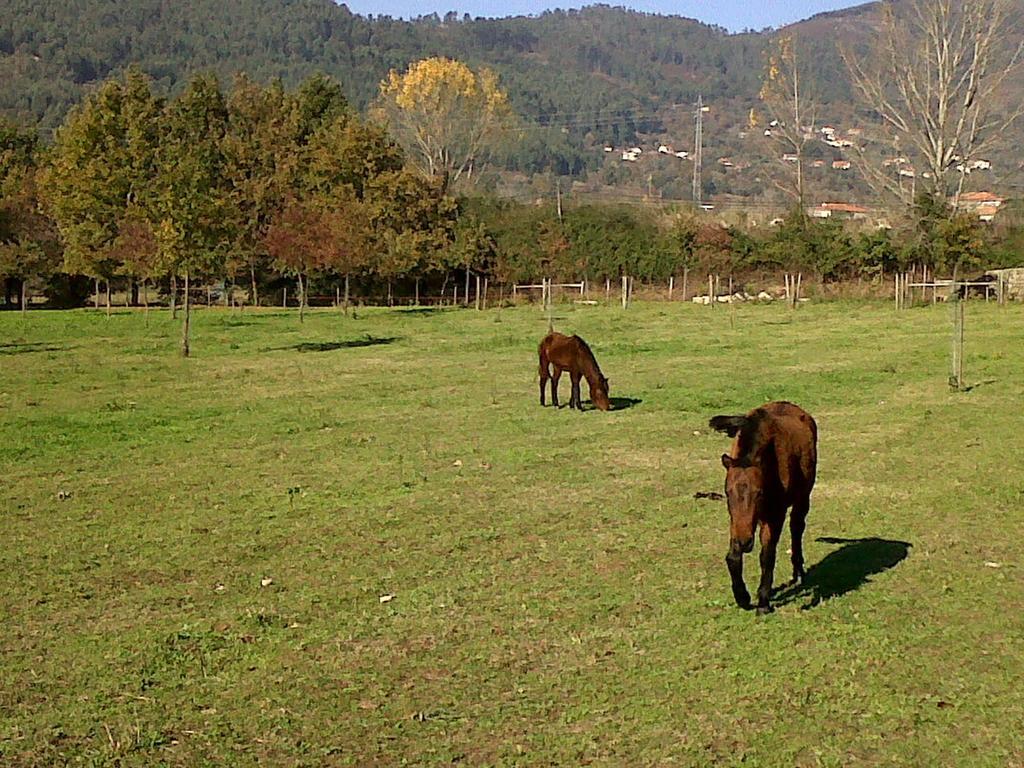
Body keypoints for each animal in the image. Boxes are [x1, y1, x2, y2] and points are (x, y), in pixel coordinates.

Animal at [712, 403, 815, 614]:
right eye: (727, 492)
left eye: (759, 492)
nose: (745, 542)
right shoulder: (736, 522)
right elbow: (732, 557)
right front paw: (742, 597)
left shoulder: (775, 515)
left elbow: (767, 556)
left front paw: (763, 602)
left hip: (802, 498)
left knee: (797, 528)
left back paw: (798, 571)